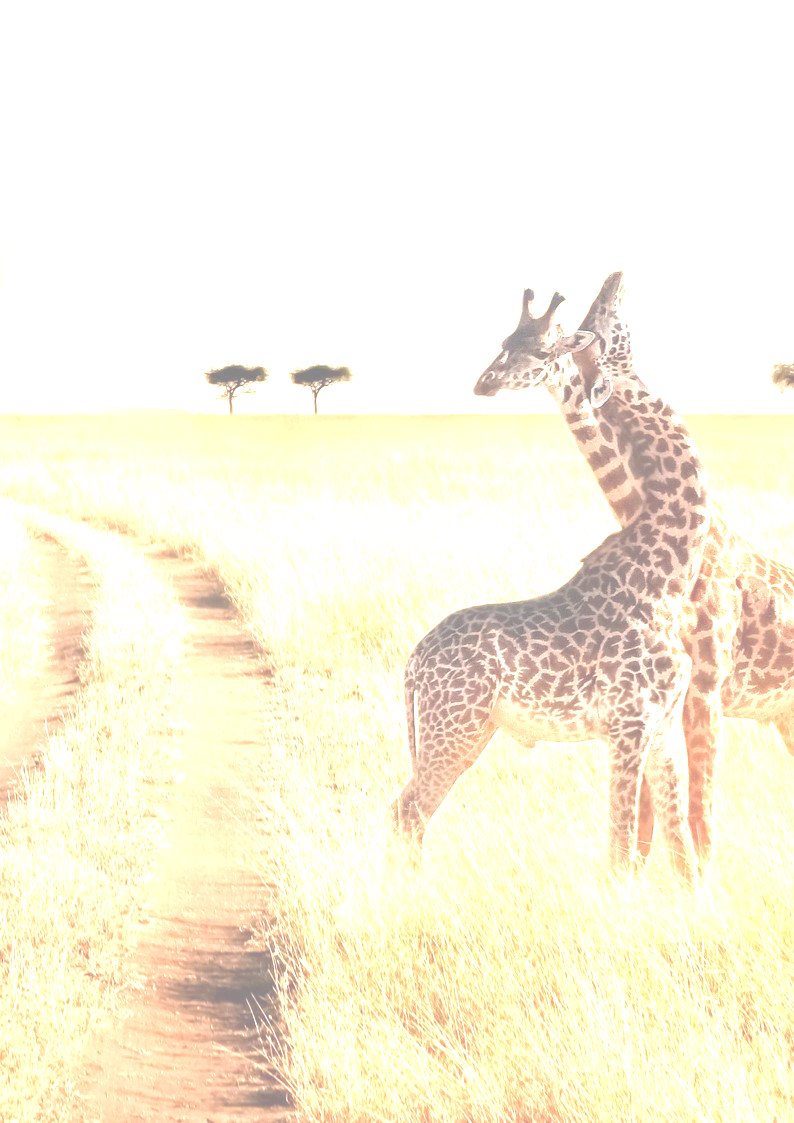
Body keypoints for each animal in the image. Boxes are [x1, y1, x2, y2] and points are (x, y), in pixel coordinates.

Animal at [392, 297, 712, 884]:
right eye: (504, 344)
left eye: (540, 349)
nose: (484, 382)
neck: (669, 573)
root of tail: (414, 662)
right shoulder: (628, 726)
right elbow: (620, 850)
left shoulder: (663, 731)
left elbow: (681, 858)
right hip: (456, 727)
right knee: (408, 811)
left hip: (462, 729)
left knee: (408, 811)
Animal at [518, 271, 794, 872]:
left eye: (601, 322)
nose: (613, 278)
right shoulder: (656, 696)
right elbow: (651, 818)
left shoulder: (704, 689)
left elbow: (694, 812)